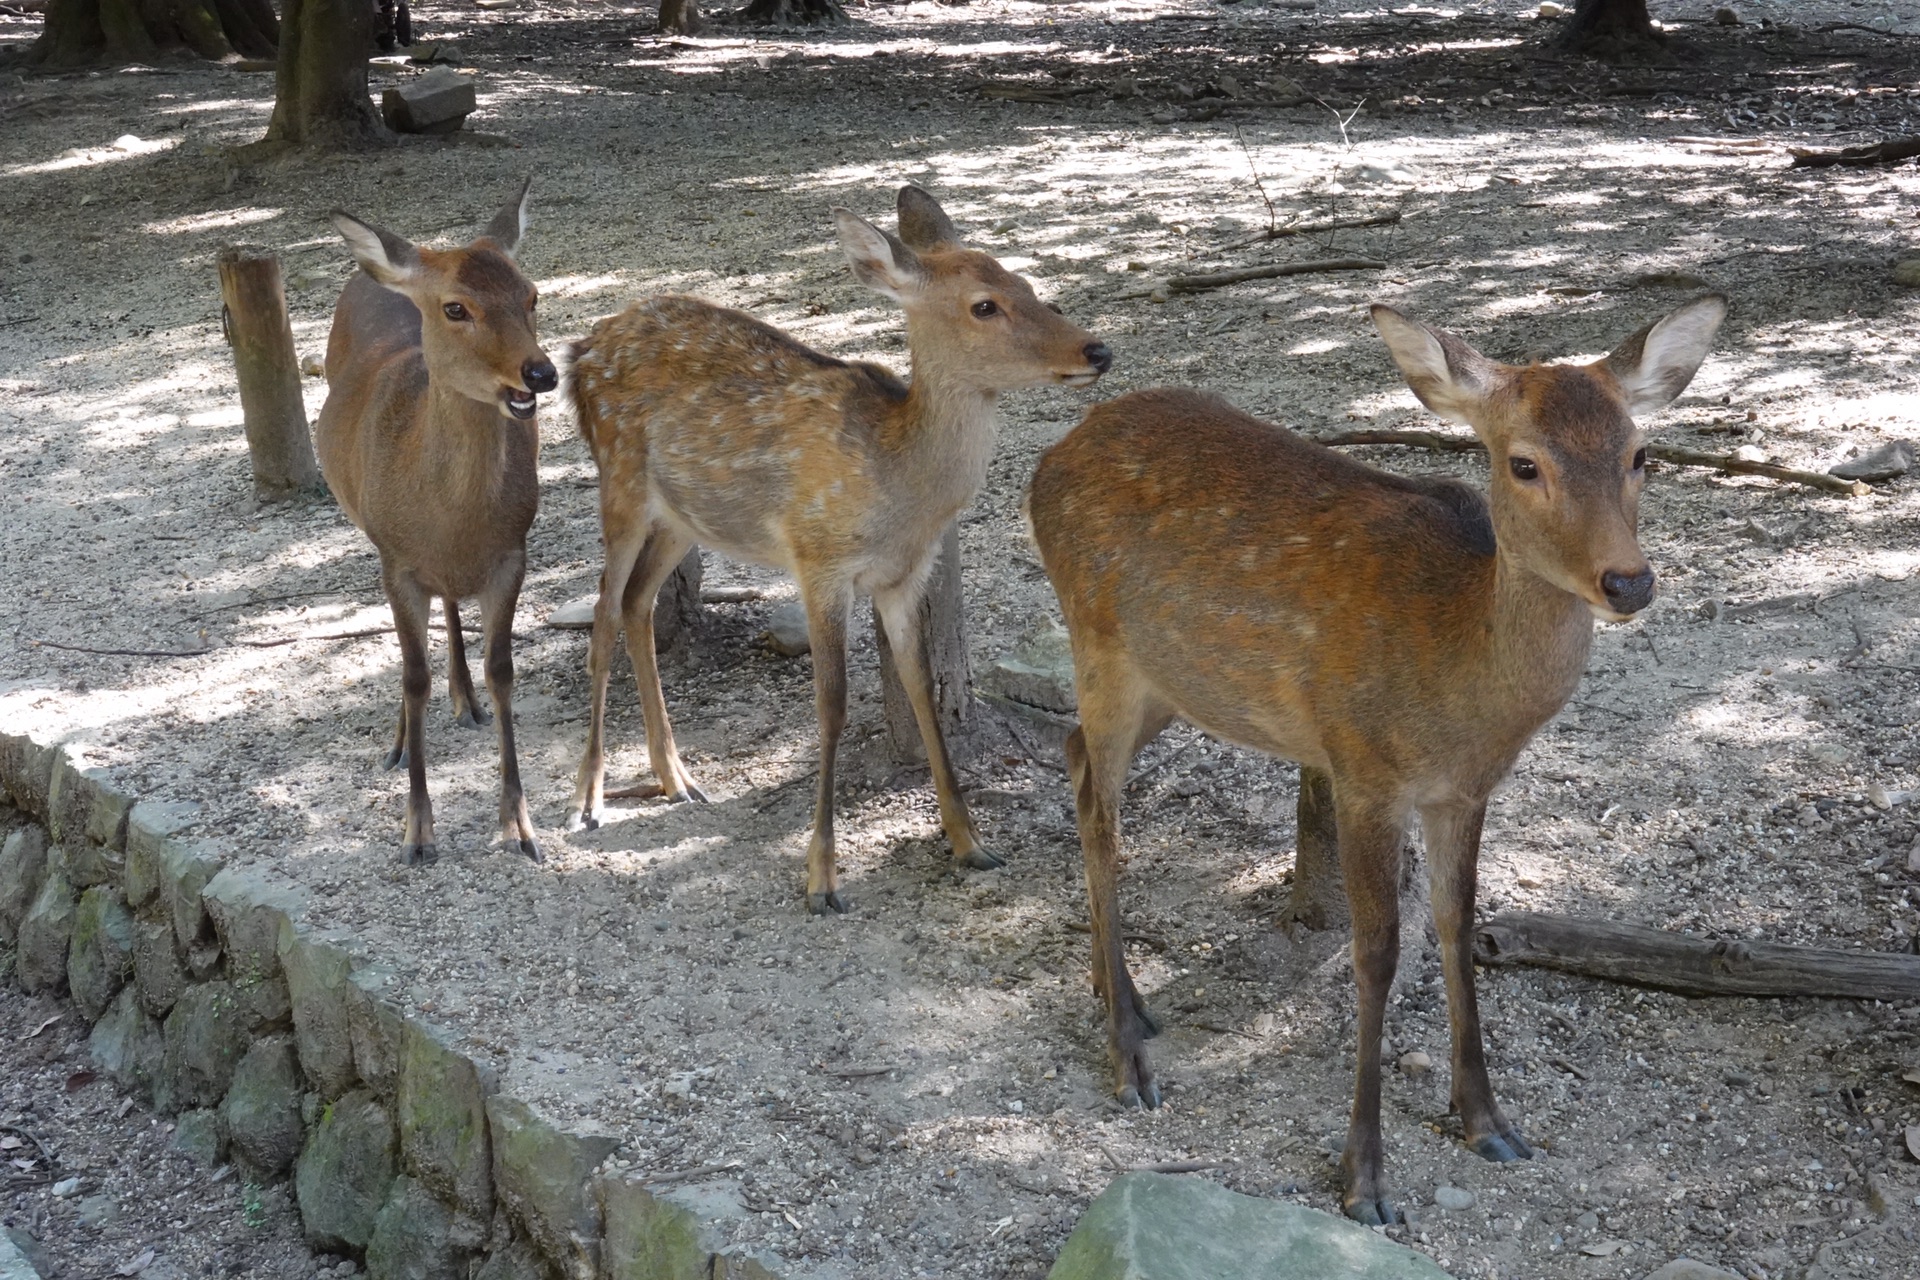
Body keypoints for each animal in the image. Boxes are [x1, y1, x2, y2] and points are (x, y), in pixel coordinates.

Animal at [314, 175, 556, 867]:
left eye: (532, 295)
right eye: (455, 308)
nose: (540, 373)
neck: (449, 521)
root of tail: (393, 267)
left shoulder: (512, 553)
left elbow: (503, 670)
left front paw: (519, 825)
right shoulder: (397, 560)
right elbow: (412, 674)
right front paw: (417, 832)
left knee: (451, 606)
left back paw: (464, 699)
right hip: (367, 530)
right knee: (411, 651)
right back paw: (399, 741)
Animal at [560, 185, 1113, 917]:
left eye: (1027, 284)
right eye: (984, 305)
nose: (1097, 350)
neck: (901, 496)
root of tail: (580, 349)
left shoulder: (904, 575)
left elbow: (922, 687)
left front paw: (970, 842)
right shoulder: (817, 557)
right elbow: (834, 704)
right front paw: (821, 879)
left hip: (683, 514)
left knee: (636, 603)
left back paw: (677, 777)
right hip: (617, 476)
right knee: (600, 613)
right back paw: (587, 799)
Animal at [1029, 295, 1735, 1228]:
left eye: (1640, 455)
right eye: (1524, 463)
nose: (1629, 582)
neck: (1461, 691)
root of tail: (1047, 461)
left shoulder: (1464, 791)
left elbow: (1457, 926)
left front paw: (1487, 1121)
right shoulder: (1361, 766)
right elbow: (1378, 953)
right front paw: (1364, 1177)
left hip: (1169, 683)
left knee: (1073, 758)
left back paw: (1120, 996)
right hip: (1098, 641)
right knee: (1104, 815)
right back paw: (1128, 1057)